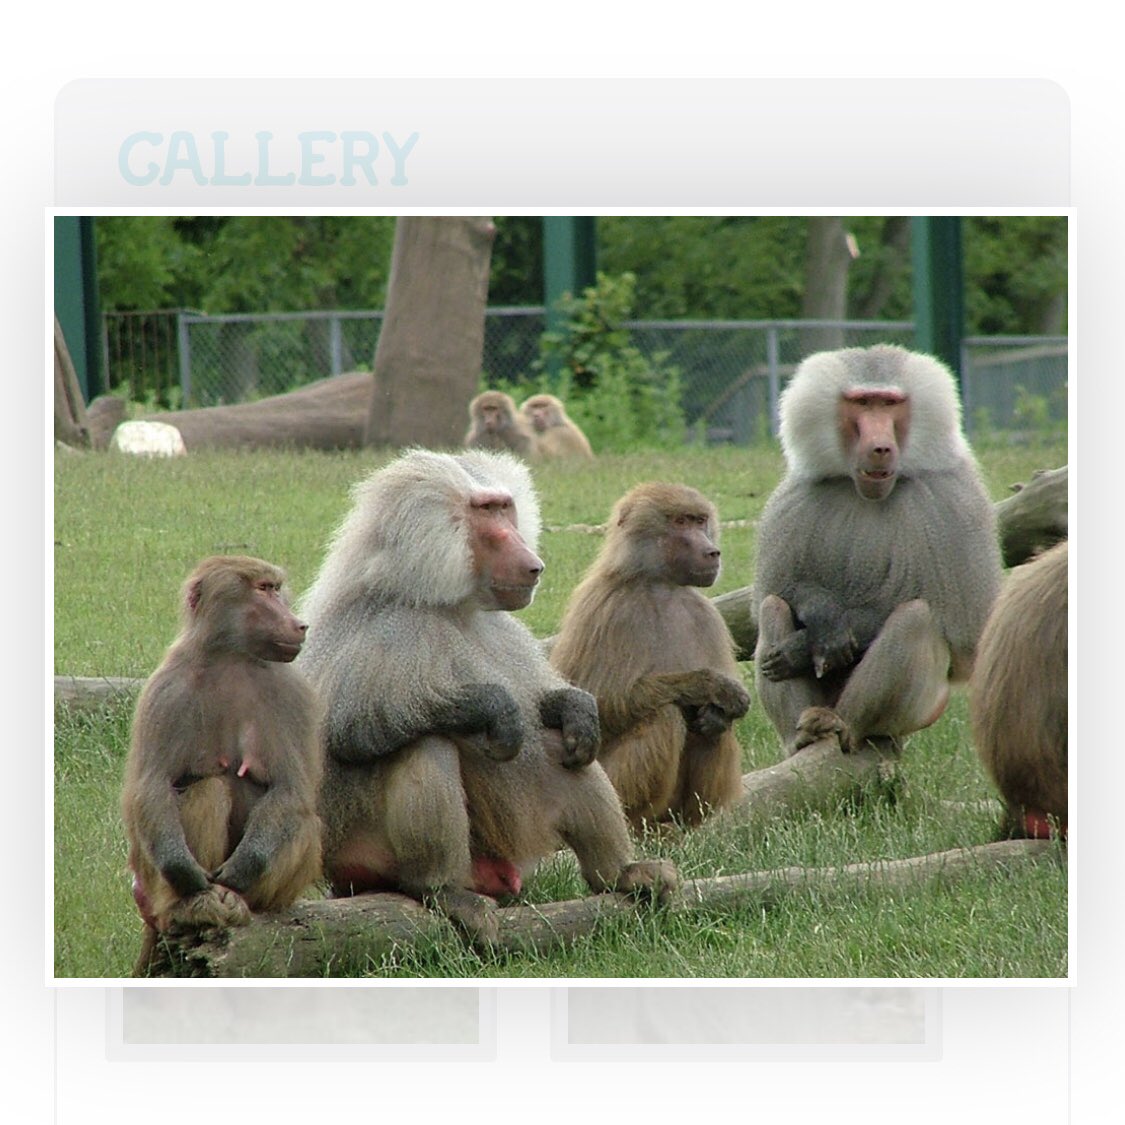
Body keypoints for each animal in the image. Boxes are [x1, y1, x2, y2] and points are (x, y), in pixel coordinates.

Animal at [121, 556, 324, 975]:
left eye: (276, 588)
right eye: (263, 589)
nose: (299, 625)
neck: (232, 657)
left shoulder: (294, 692)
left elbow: (292, 790)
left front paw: (240, 871)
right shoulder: (166, 687)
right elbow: (151, 787)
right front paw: (188, 875)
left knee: (301, 822)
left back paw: (234, 897)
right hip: (151, 878)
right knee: (208, 788)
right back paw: (197, 904)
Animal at [296, 448, 678, 946]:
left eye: (505, 508)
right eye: (485, 512)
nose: (533, 564)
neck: (450, 606)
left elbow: (548, 712)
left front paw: (577, 708)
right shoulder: (383, 630)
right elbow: (351, 733)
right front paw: (494, 708)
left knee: (564, 748)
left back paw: (622, 873)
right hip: (361, 853)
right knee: (426, 745)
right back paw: (440, 891)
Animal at [549, 483, 751, 830]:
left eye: (700, 521)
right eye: (681, 522)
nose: (712, 552)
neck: (661, 586)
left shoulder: (707, 616)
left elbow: (717, 715)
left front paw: (721, 708)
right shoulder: (609, 610)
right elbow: (601, 703)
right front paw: (709, 685)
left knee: (714, 733)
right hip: (610, 786)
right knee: (665, 715)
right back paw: (640, 825)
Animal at [751, 344, 1003, 757]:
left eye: (889, 403)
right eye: (862, 403)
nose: (881, 448)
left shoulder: (955, 504)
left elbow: (964, 633)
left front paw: (801, 649)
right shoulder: (794, 501)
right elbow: (779, 589)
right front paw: (823, 618)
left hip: (920, 711)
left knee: (917, 618)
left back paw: (845, 725)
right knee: (772, 606)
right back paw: (801, 737)